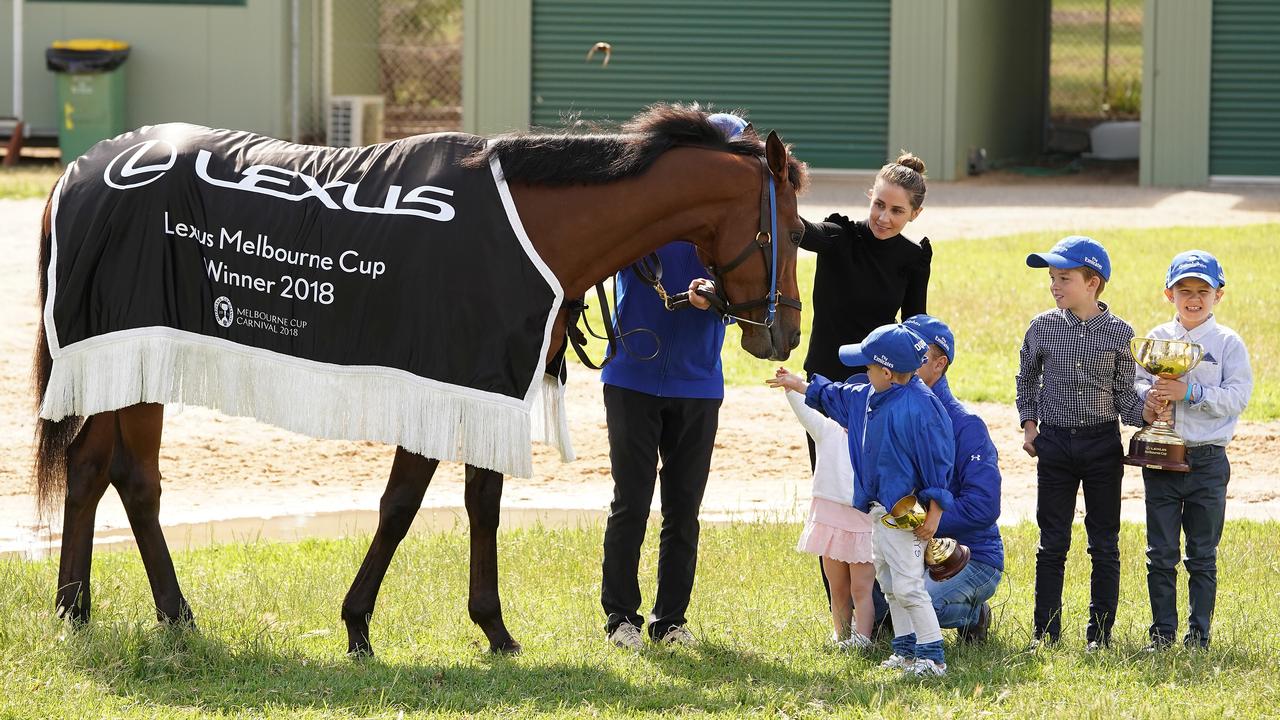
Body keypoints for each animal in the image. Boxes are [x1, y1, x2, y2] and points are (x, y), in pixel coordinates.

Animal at [30, 103, 803, 653]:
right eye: (795, 234)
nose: (786, 332)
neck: (530, 227)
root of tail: (77, 174)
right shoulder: (446, 377)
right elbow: (404, 505)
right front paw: (360, 625)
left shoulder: (480, 386)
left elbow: (477, 503)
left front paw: (491, 629)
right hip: (134, 355)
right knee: (136, 480)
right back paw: (175, 614)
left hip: (116, 358)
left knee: (90, 465)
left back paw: (75, 609)